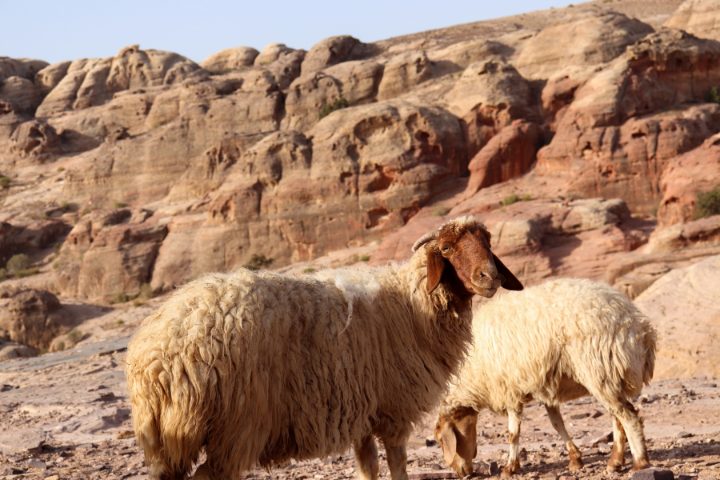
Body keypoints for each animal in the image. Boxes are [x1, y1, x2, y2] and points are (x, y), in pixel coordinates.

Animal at [125, 218, 524, 480]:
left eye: (488, 242)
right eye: (445, 249)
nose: (490, 277)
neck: (412, 305)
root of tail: (157, 355)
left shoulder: (362, 412)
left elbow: (367, 466)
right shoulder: (393, 409)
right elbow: (396, 465)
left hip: (167, 438)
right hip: (236, 426)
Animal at [434, 278, 660, 476]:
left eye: (440, 440)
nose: (461, 473)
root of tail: (642, 329)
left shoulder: (510, 390)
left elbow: (513, 433)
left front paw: (510, 467)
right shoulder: (545, 389)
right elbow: (556, 423)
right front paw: (575, 459)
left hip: (600, 368)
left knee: (628, 416)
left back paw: (640, 463)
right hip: (610, 374)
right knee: (617, 417)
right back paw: (615, 461)